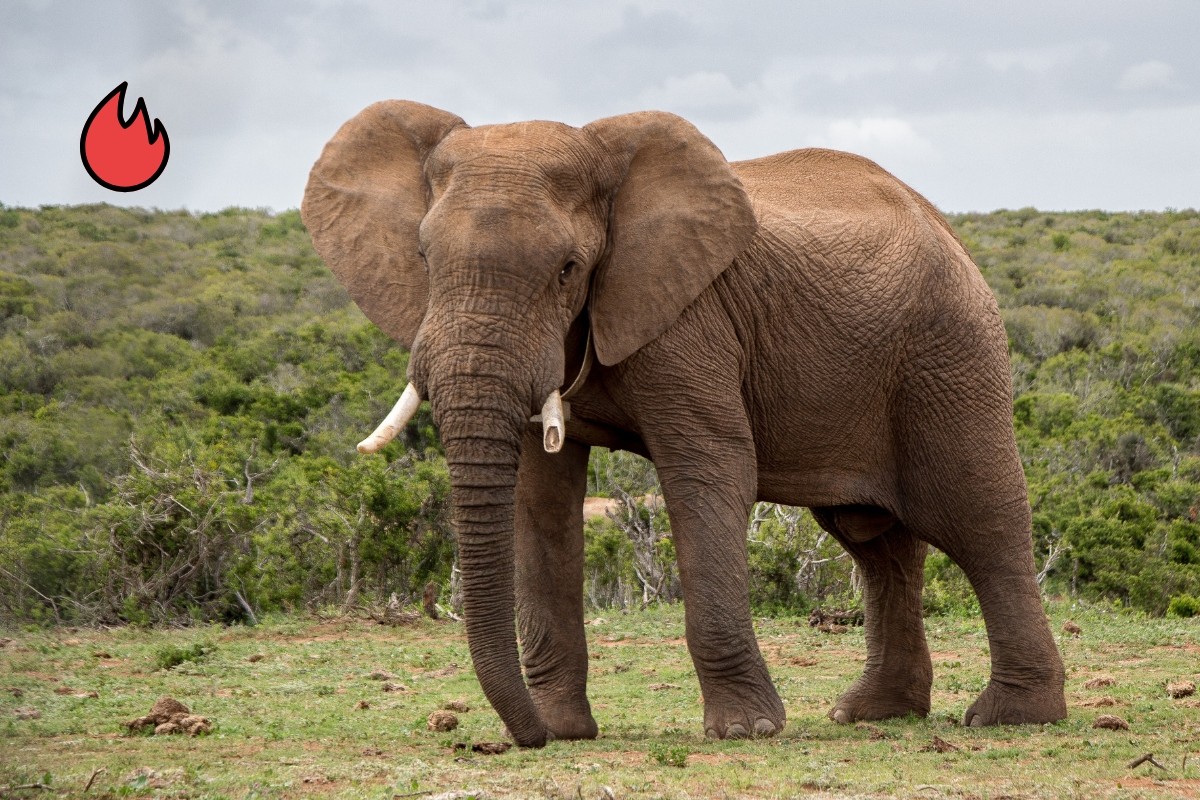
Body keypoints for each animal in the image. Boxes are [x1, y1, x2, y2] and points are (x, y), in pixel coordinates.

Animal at [302, 101, 1070, 753]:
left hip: (950, 351)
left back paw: (1011, 718)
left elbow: (710, 469)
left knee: (979, 520)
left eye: (569, 269)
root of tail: (947, 226)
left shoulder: (690, 320)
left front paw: (747, 732)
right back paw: (872, 714)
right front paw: (563, 728)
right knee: (874, 541)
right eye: (424, 260)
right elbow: (539, 498)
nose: (523, 740)